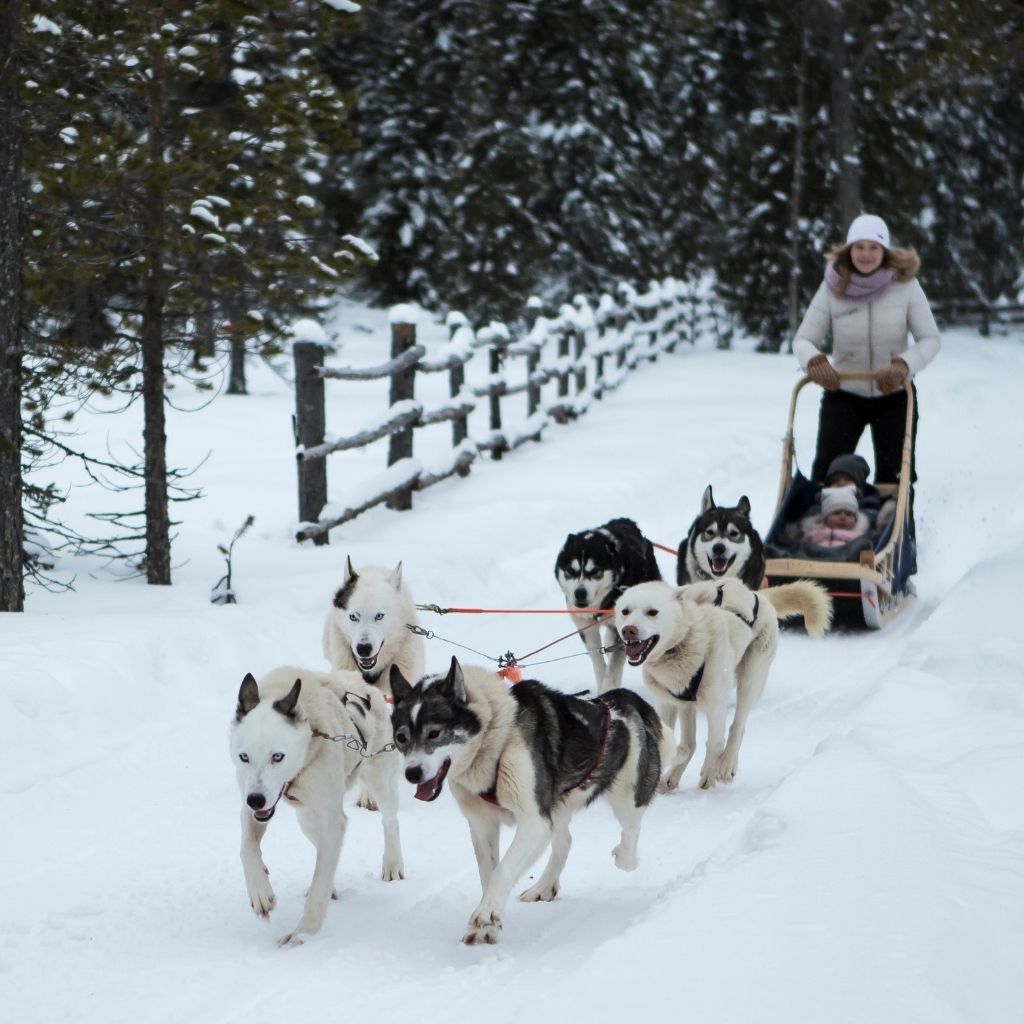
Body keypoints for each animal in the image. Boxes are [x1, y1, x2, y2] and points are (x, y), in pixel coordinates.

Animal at [230, 663, 405, 942]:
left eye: (277, 756)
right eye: (244, 756)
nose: (256, 800)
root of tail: (366, 687)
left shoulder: (333, 821)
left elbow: (320, 879)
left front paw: (304, 933)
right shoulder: (252, 806)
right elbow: (247, 847)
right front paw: (260, 892)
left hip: (380, 782)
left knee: (390, 821)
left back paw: (392, 863)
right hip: (307, 818)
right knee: (320, 843)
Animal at [387, 655, 667, 942]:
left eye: (434, 733)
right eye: (401, 737)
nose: (412, 773)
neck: (496, 738)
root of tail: (620, 701)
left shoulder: (534, 821)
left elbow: (502, 870)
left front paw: (485, 915)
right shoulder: (483, 825)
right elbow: (489, 873)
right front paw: (490, 918)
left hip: (627, 795)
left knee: (630, 830)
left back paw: (625, 857)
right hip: (558, 807)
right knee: (565, 840)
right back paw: (544, 886)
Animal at [557, 520, 659, 696]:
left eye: (595, 571)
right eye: (571, 570)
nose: (579, 593)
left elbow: (613, 668)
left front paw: (608, 690)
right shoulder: (586, 628)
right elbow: (598, 662)